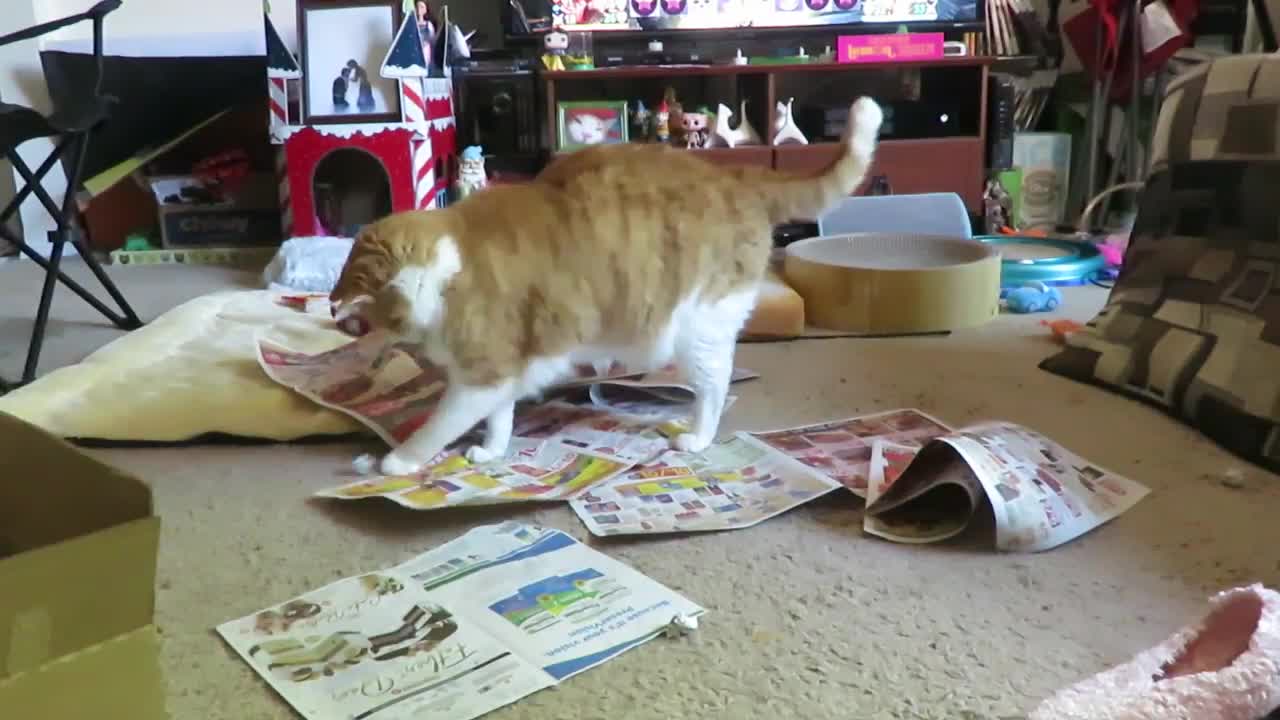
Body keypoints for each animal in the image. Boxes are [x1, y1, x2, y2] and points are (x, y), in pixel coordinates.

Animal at [332, 96, 880, 476]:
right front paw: (492, 449)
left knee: (714, 387)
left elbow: (439, 424)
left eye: (362, 319)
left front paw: (397, 462)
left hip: (697, 329)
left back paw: (696, 438)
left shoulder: (480, 374)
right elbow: (500, 415)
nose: (352, 341)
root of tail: (738, 176)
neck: (446, 267)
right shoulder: (501, 368)